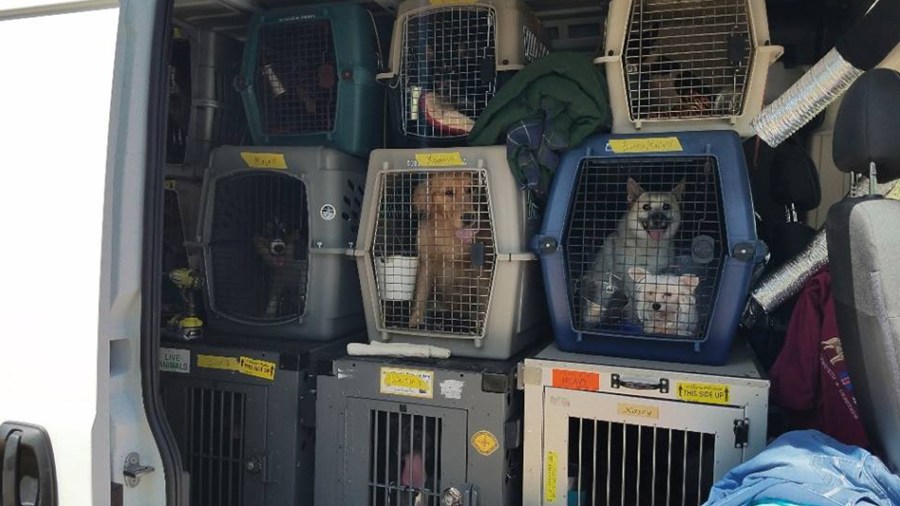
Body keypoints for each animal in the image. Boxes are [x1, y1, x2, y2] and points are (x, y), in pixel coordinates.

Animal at [208, 170, 310, 320]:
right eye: (267, 230)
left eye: (284, 229)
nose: (278, 247)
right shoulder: (278, 273)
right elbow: (273, 296)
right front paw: (268, 314)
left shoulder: (302, 266)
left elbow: (303, 289)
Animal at [374, 170, 500, 336]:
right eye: (448, 192)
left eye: (470, 189)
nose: (469, 218)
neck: (449, 233)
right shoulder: (426, 263)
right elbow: (420, 296)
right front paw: (415, 322)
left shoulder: (480, 269)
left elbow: (483, 300)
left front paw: (480, 325)